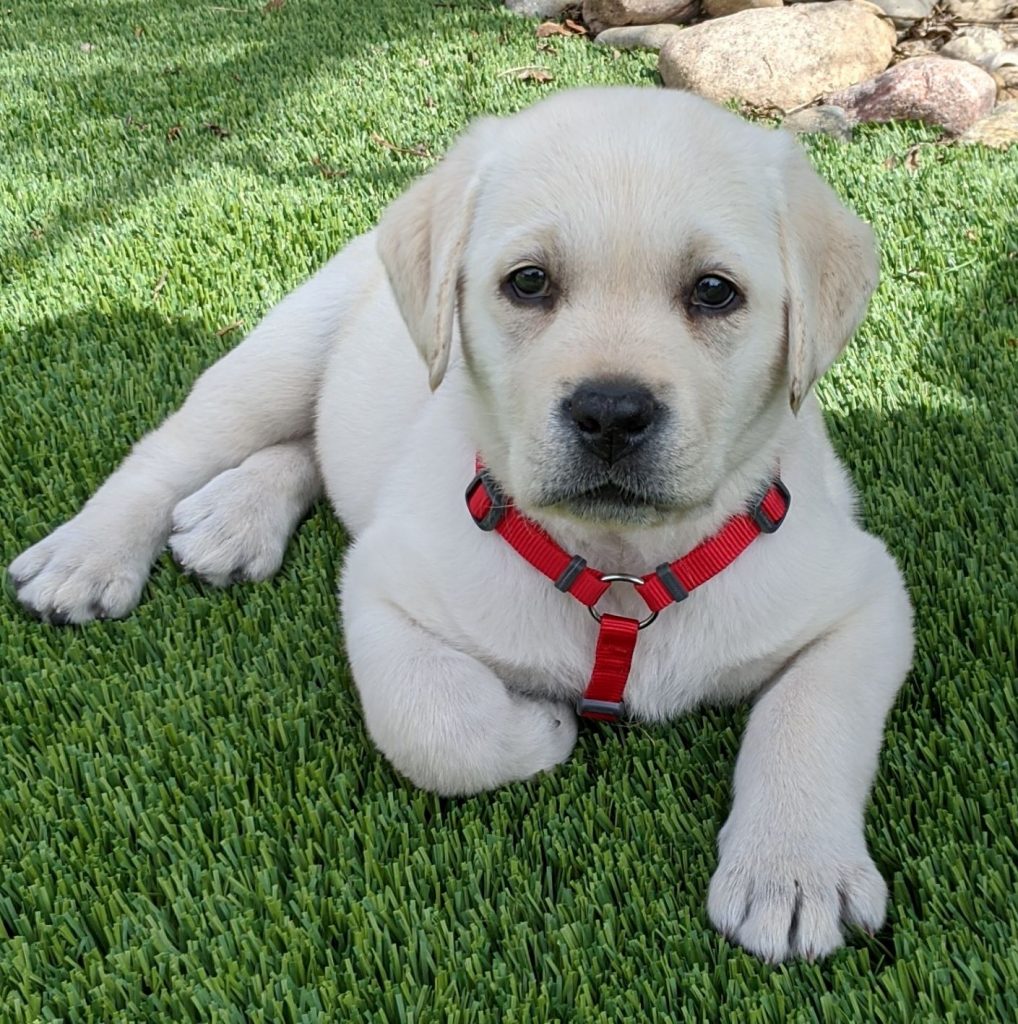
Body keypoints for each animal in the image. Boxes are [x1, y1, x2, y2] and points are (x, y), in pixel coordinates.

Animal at [7, 86, 913, 958]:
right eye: (528, 282)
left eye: (715, 291)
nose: (611, 413)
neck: (621, 566)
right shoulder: (384, 587)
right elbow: (436, 725)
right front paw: (543, 727)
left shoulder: (867, 596)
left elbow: (809, 716)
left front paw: (793, 873)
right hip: (281, 350)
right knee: (173, 450)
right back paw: (87, 557)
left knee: (306, 446)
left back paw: (235, 517)